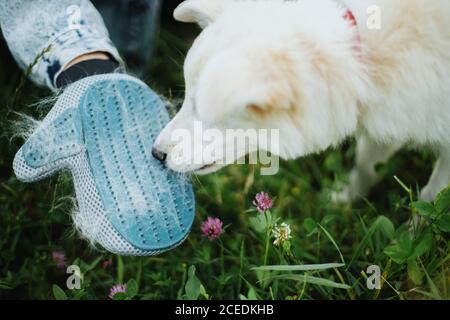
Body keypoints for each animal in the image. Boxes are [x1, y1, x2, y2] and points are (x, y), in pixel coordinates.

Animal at [154, 0, 450, 201]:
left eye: (204, 110)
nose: (156, 154)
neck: (362, 55)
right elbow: (366, 163)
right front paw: (345, 200)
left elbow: (431, 197)